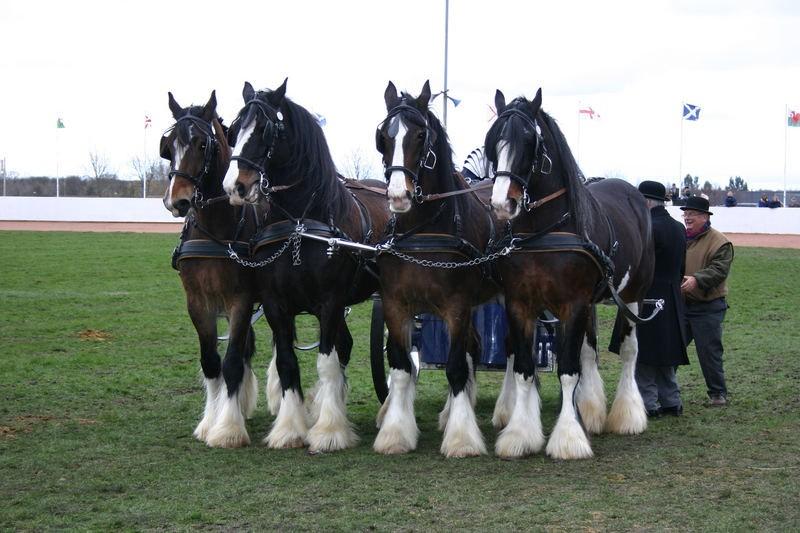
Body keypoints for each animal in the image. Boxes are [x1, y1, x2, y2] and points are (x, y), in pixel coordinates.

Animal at [161, 92, 264, 448]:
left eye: (202, 144)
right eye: (168, 147)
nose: (177, 201)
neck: (216, 230)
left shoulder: (240, 300)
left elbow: (231, 363)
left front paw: (228, 428)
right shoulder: (197, 302)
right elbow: (211, 363)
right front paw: (210, 420)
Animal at [223, 80, 390, 454]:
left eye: (266, 129)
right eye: (233, 129)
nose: (234, 187)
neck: (300, 223)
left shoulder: (330, 302)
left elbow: (326, 362)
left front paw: (328, 431)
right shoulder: (276, 305)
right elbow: (287, 363)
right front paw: (290, 429)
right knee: (345, 346)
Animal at [372, 81, 496, 456]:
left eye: (420, 135)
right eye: (383, 136)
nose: (398, 196)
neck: (423, 229)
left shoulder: (456, 306)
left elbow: (454, 368)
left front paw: (462, 438)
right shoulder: (396, 305)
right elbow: (401, 368)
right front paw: (396, 433)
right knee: (473, 348)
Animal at [484, 89, 652, 460]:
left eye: (529, 140)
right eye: (493, 140)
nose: (502, 204)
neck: (545, 232)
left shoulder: (572, 304)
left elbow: (567, 371)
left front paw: (568, 439)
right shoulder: (521, 304)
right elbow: (525, 369)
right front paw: (520, 434)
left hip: (633, 293)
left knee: (631, 351)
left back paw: (628, 414)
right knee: (589, 352)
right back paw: (592, 411)